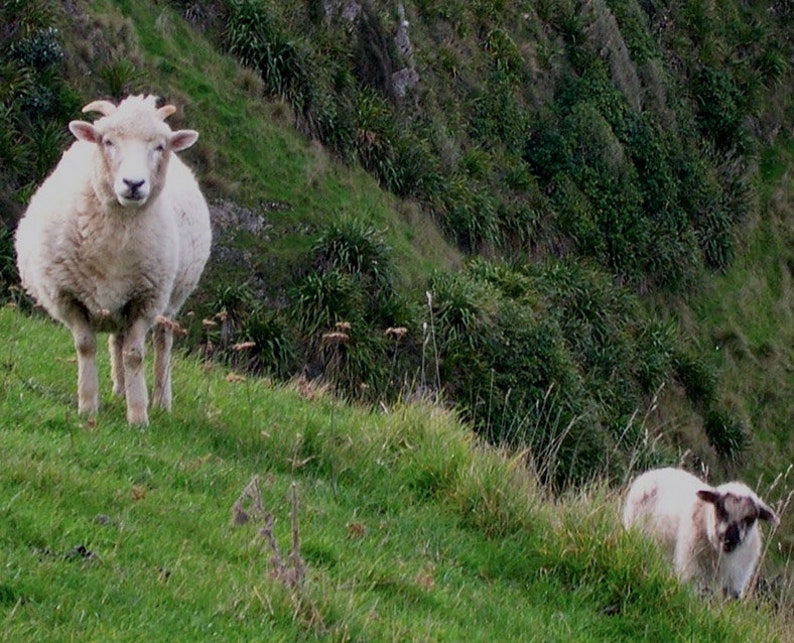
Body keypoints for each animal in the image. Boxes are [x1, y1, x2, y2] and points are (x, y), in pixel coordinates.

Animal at [16, 93, 213, 426]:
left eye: (160, 146)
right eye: (107, 141)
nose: (133, 184)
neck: (115, 247)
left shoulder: (146, 300)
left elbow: (135, 355)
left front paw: (138, 415)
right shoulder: (68, 298)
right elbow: (86, 346)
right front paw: (87, 405)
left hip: (168, 300)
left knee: (162, 341)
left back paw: (161, 399)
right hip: (118, 303)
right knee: (116, 340)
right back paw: (120, 388)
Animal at [620, 468, 776, 600]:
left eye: (750, 519)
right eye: (720, 508)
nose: (730, 540)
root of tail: (650, 473)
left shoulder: (735, 584)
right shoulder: (693, 574)